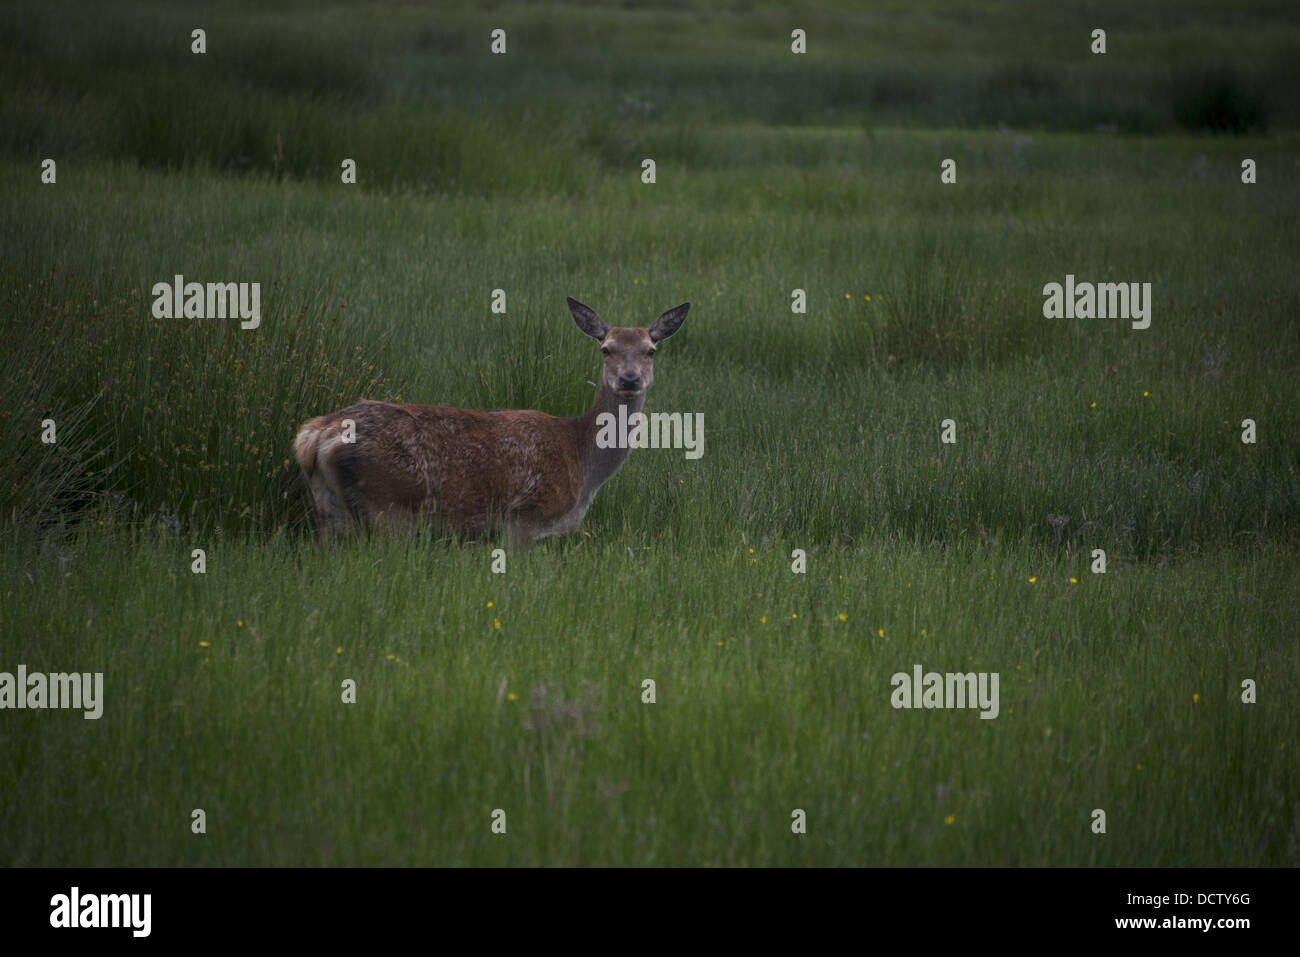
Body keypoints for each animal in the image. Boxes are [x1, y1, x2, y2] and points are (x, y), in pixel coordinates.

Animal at [289, 302, 686, 548]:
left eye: (651, 350)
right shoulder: (524, 516)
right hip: (389, 507)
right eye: (606, 348)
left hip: (329, 512)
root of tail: (313, 436)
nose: (630, 379)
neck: (584, 465)